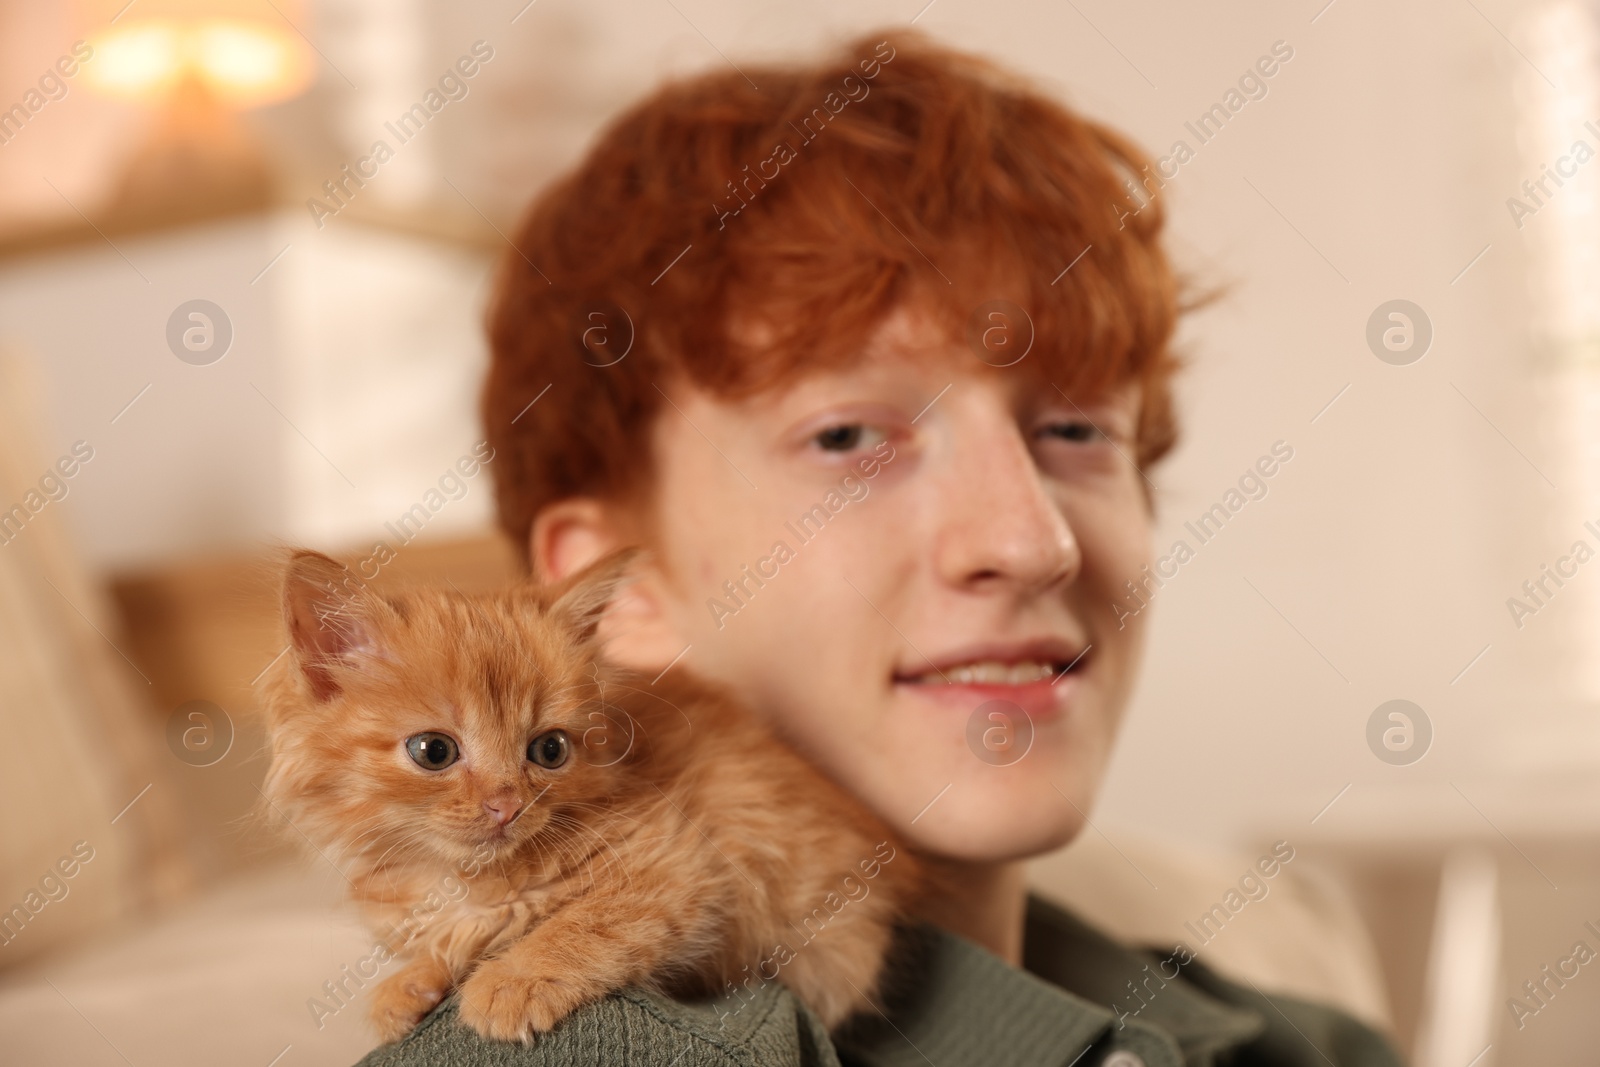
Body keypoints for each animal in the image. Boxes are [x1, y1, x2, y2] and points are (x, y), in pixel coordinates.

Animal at [257, 550, 921, 1043]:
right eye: (434, 752)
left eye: (549, 750)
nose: (507, 805)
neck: (464, 877)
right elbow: (448, 939)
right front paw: (412, 980)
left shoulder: (680, 861)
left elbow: (583, 923)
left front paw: (511, 981)